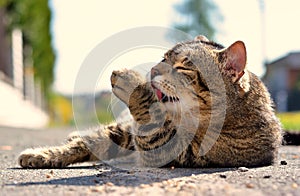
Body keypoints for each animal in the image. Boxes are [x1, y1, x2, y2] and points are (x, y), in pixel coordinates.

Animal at [18, 35, 282, 168]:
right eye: (163, 58)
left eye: (182, 67)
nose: (154, 70)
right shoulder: (127, 132)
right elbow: (92, 141)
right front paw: (43, 154)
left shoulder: (176, 150)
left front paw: (132, 83)